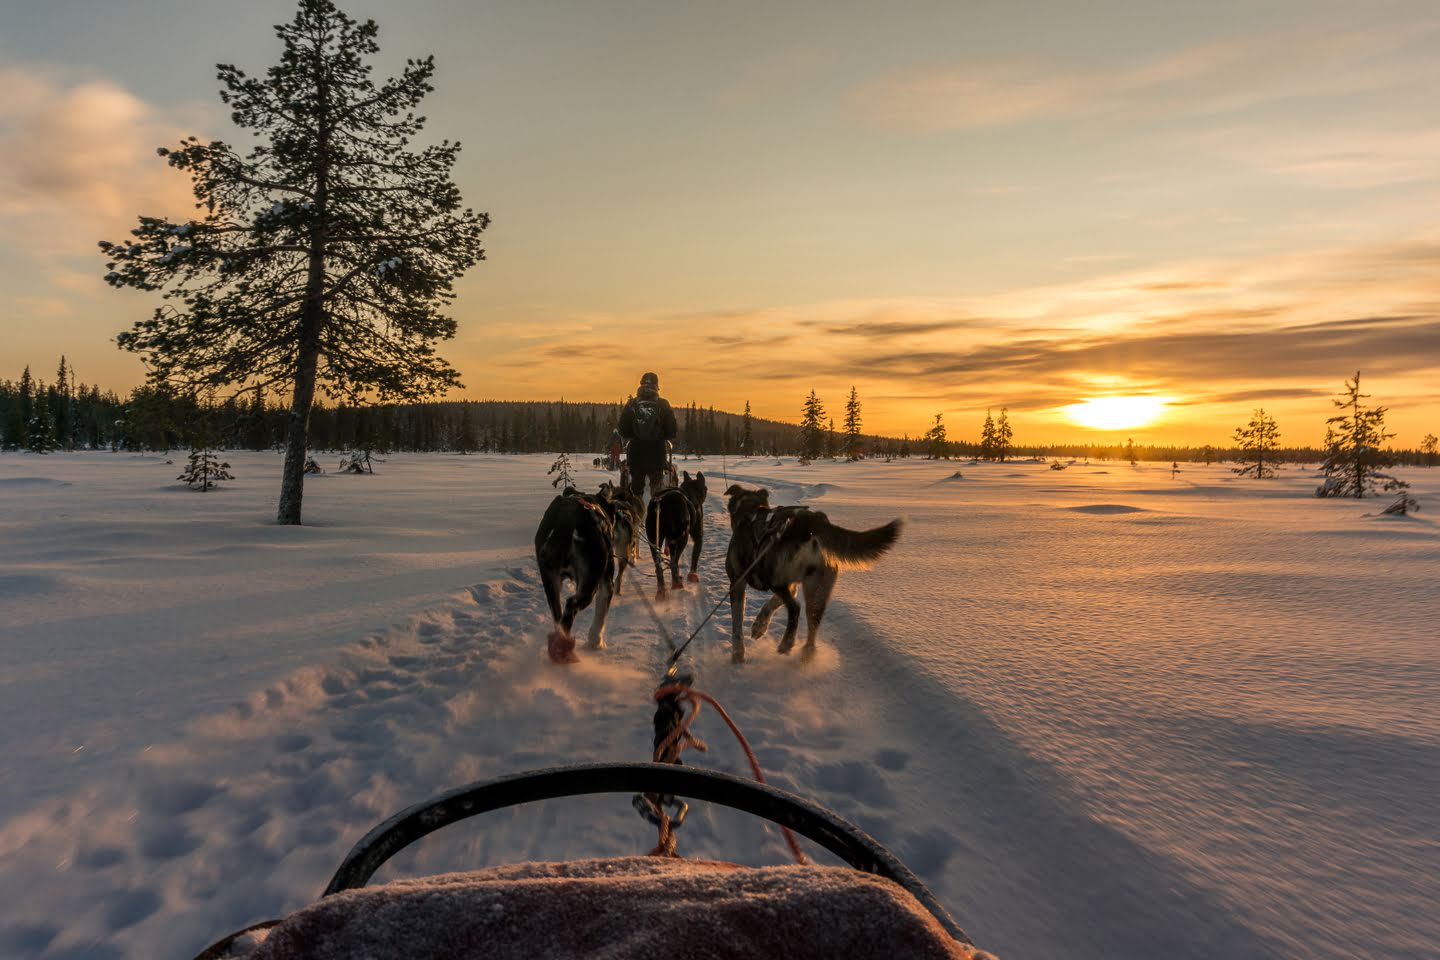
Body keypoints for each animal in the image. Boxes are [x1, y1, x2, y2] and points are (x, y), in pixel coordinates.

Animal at [535, 489, 613, 662]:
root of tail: (566, 519)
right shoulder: (606, 583)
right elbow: (601, 616)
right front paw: (596, 642)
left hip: (551, 583)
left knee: (558, 616)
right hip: (589, 585)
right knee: (570, 606)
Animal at [720, 483, 898, 664]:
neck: (751, 510)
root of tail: (811, 522)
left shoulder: (737, 582)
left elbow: (737, 625)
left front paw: (737, 655)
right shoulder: (792, 585)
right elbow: (771, 604)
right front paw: (759, 626)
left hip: (774, 578)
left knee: (795, 607)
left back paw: (787, 643)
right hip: (817, 587)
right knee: (811, 621)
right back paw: (806, 655)